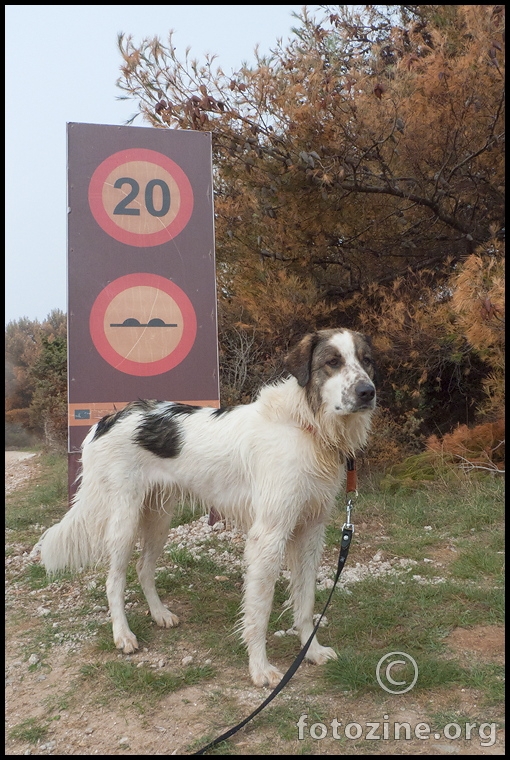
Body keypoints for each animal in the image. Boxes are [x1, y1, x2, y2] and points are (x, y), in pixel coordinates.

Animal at [38, 328, 374, 688]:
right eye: (332, 362)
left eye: (366, 360)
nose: (368, 392)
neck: (305, 424)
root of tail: (108, 417)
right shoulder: (268, 537)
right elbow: (259, 611)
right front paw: (259, 668)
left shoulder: (311, 532)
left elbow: (306, 602)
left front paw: (311, 652)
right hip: (125, 522)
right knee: (114, 581)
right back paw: (123, 634)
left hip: (159, 519)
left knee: (143, 568)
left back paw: (159, 614)